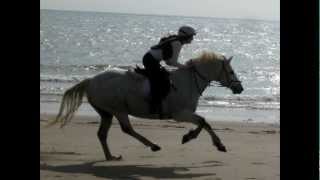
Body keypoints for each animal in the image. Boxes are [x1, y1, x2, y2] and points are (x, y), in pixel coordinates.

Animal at [47, 50, 242, 160]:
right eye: (231, 71)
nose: (240, 88)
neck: (189, 81)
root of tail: (90, 81)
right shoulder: (180, 114)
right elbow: (202, 122)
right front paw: (189, 137)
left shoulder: (185, 114)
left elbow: (205, 123)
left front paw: (219, 145)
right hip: (118, 109)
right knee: (126, 129)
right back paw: (153, 145)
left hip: (106, 113)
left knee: (103, 134)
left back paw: (111, 156)